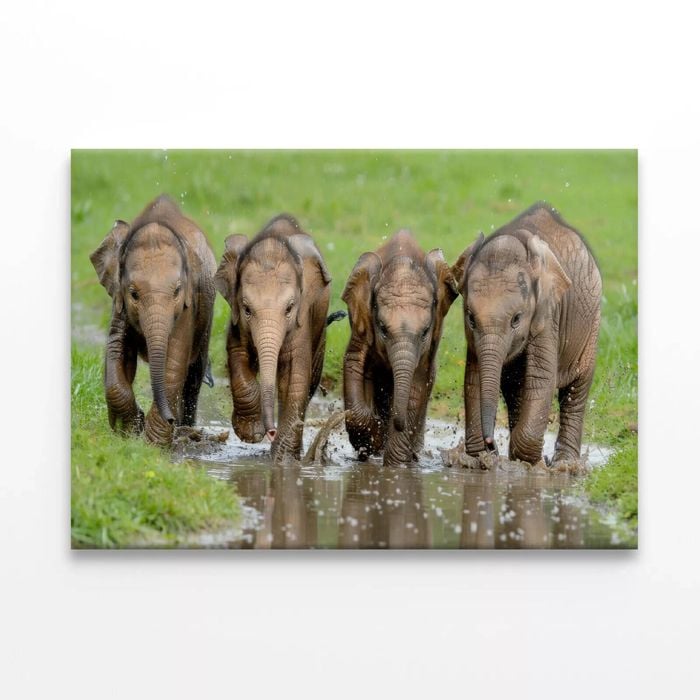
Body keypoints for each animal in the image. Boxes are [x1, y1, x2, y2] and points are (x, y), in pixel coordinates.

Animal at [90, 195, 217, 445]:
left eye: (177, 291)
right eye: (133, 294)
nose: (170, 419)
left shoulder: (187, 306)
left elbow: (175, 358)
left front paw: (154, 444)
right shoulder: (119, 303)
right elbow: (116, 350)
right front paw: (130, 432)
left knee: (194, 375)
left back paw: (186, 427)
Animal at [214, 214, 332, 463]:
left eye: (289, 308)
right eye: (247, 309)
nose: (271, 431)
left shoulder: (301, 320)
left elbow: (294, 376)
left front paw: (283, 461)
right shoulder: (237, 322)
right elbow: (237, 357)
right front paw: (251, 434)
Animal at [342, 230, 458, 466]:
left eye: (425, 331)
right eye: (382, 328)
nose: (397, 423)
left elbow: (416, 385)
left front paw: (395, 467)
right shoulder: (362, 320)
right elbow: (353, 363)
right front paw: (373, 439)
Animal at [451, 202, 602, 467]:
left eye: (516, 319)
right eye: (470, 318)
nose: (491, 443)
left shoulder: (547, 315)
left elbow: (541, 378)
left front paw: (531, 464)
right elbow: (474, 377)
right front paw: (482, 460)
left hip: (591, 323)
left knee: (576, 389)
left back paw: (565, 465)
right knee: (515, 392)